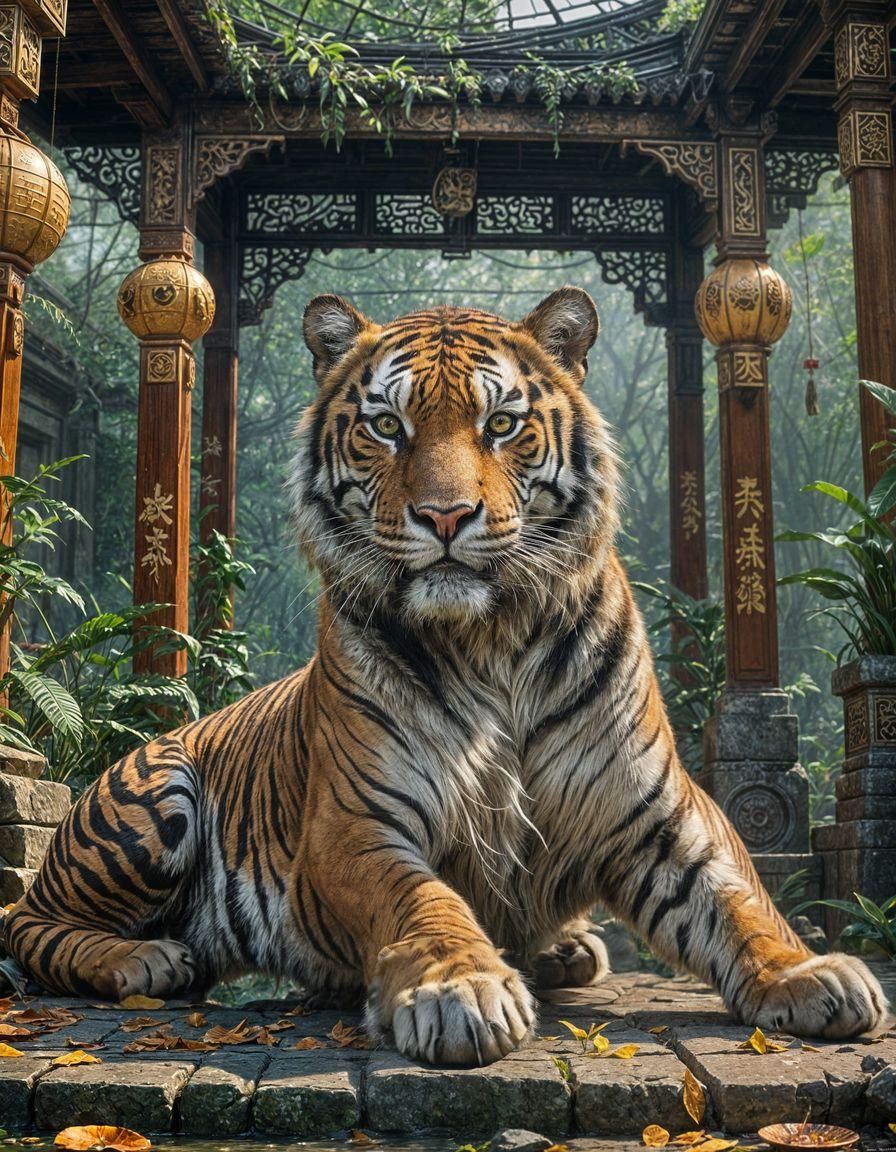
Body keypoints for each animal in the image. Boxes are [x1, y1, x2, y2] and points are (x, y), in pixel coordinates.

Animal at [3, 287, 887, 1067]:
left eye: (501, 424)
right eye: (387, 427)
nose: (446, 516)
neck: (493, 641)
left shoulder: (657, 809)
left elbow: (739, 899)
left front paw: (811, 972)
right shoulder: (357, 822)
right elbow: (424, 900)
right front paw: (460, 990)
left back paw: (565, 949)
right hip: (156, 796)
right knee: (28, 921)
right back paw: (144, 960)